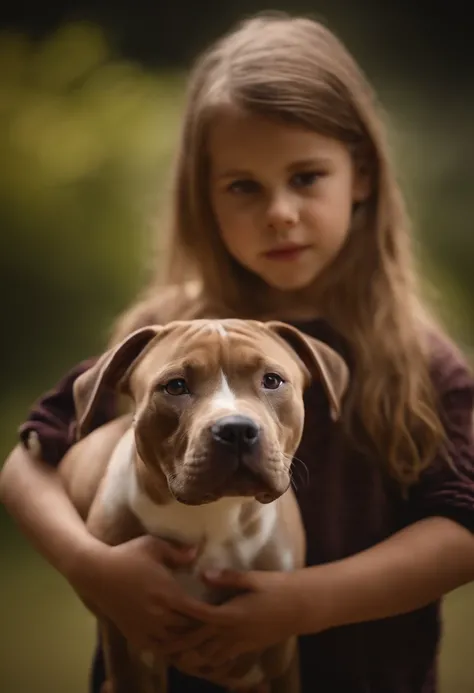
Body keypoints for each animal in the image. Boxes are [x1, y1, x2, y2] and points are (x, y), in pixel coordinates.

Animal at [57, 318, 350, 692]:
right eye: (175, 386)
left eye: (271, 380)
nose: (236, 428)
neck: (213, 516)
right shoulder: (130, 647)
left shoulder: (275, 656)